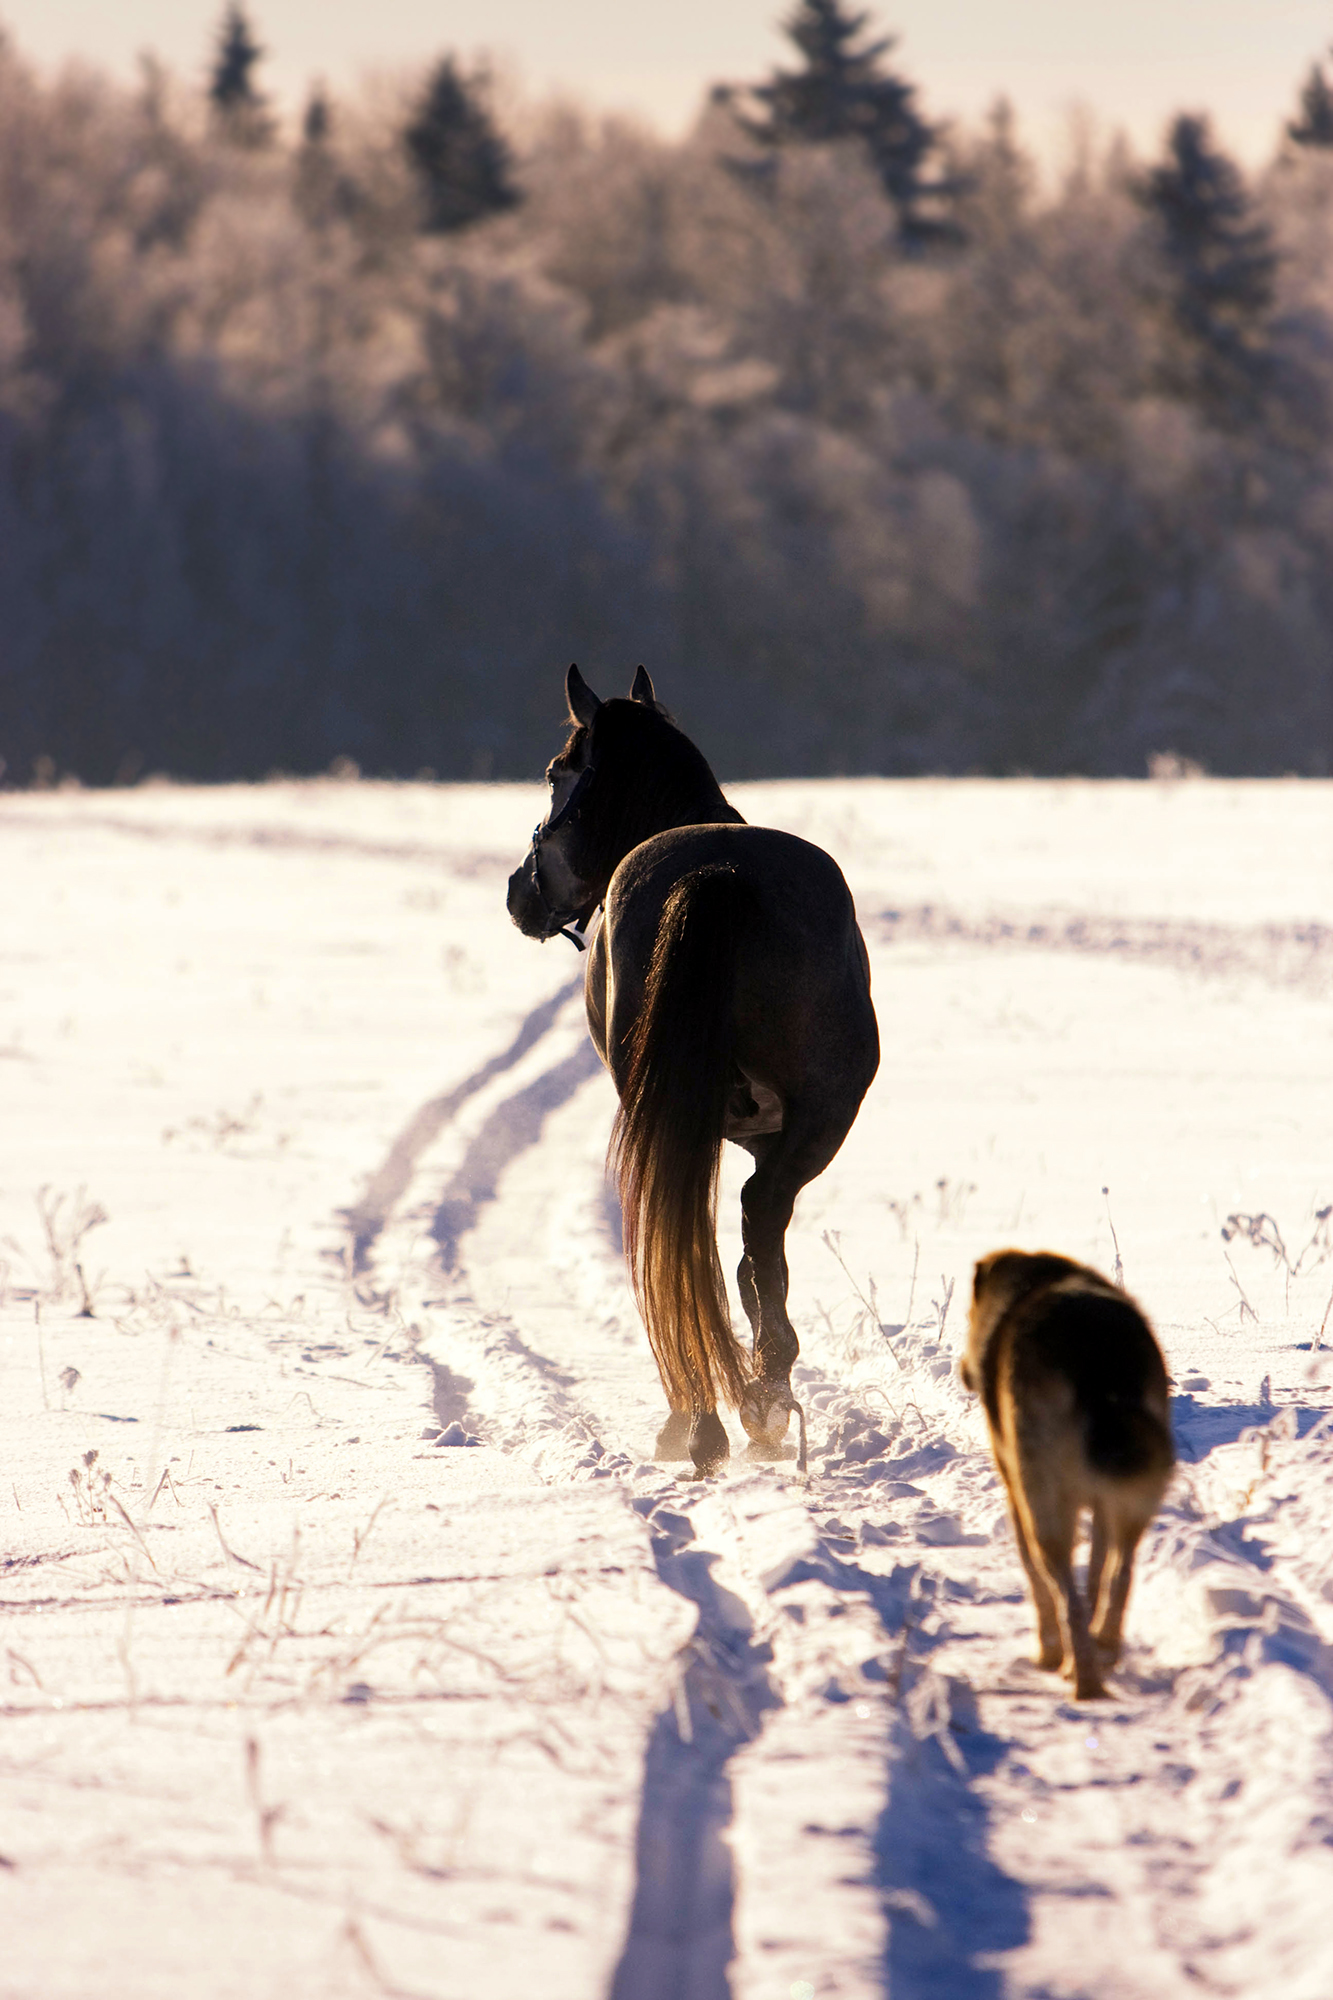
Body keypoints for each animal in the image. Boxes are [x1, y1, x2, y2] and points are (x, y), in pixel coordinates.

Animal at [504, 664, 876, 1480]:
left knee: (686, 1231)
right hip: (822, 1116)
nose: (519, 892)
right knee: (757, 1217)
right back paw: (765, 1393)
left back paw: (705, 1419)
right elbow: (754, 1260)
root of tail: (721, 872)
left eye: (555, 772)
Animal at [960, 1248, 1168, 1704]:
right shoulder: (1104, 1503)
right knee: (1121, 1574)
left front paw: (1049, 1654)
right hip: (1136, 1491)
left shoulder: (1016, 1492)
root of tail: (1097, 1357)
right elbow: (1097, 1572)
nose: (964, 1371)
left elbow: (1039, 1582)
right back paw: (1104, 1649)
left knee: (1063, 1591)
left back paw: (1083, 1678)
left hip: (1044, 1497)